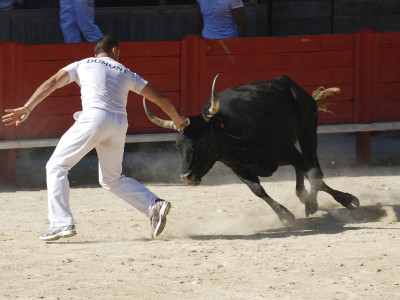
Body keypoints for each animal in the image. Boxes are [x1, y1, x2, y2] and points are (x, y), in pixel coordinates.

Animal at [144, 74, 360, 223]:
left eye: (202, 140)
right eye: (178, 146)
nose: (186, 177)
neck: (233, 136)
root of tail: (290, 84)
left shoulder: (286, 148)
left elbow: (314, 175)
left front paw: (346, 199)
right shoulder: (239, 168)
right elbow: (258, 190)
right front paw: (284, 215)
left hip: (307, 131)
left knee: (313, 166)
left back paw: (312, 201)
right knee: (304, 169)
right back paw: (304, 197)